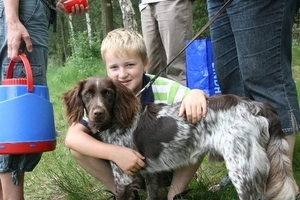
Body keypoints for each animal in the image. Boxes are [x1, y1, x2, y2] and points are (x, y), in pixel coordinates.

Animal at [62, 76, 296, 200]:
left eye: (108, 93)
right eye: (88, 94)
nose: (97, 113)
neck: (117, 121)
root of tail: (257, 106)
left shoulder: (124, 178)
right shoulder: (150, 174)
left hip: (242, 169)